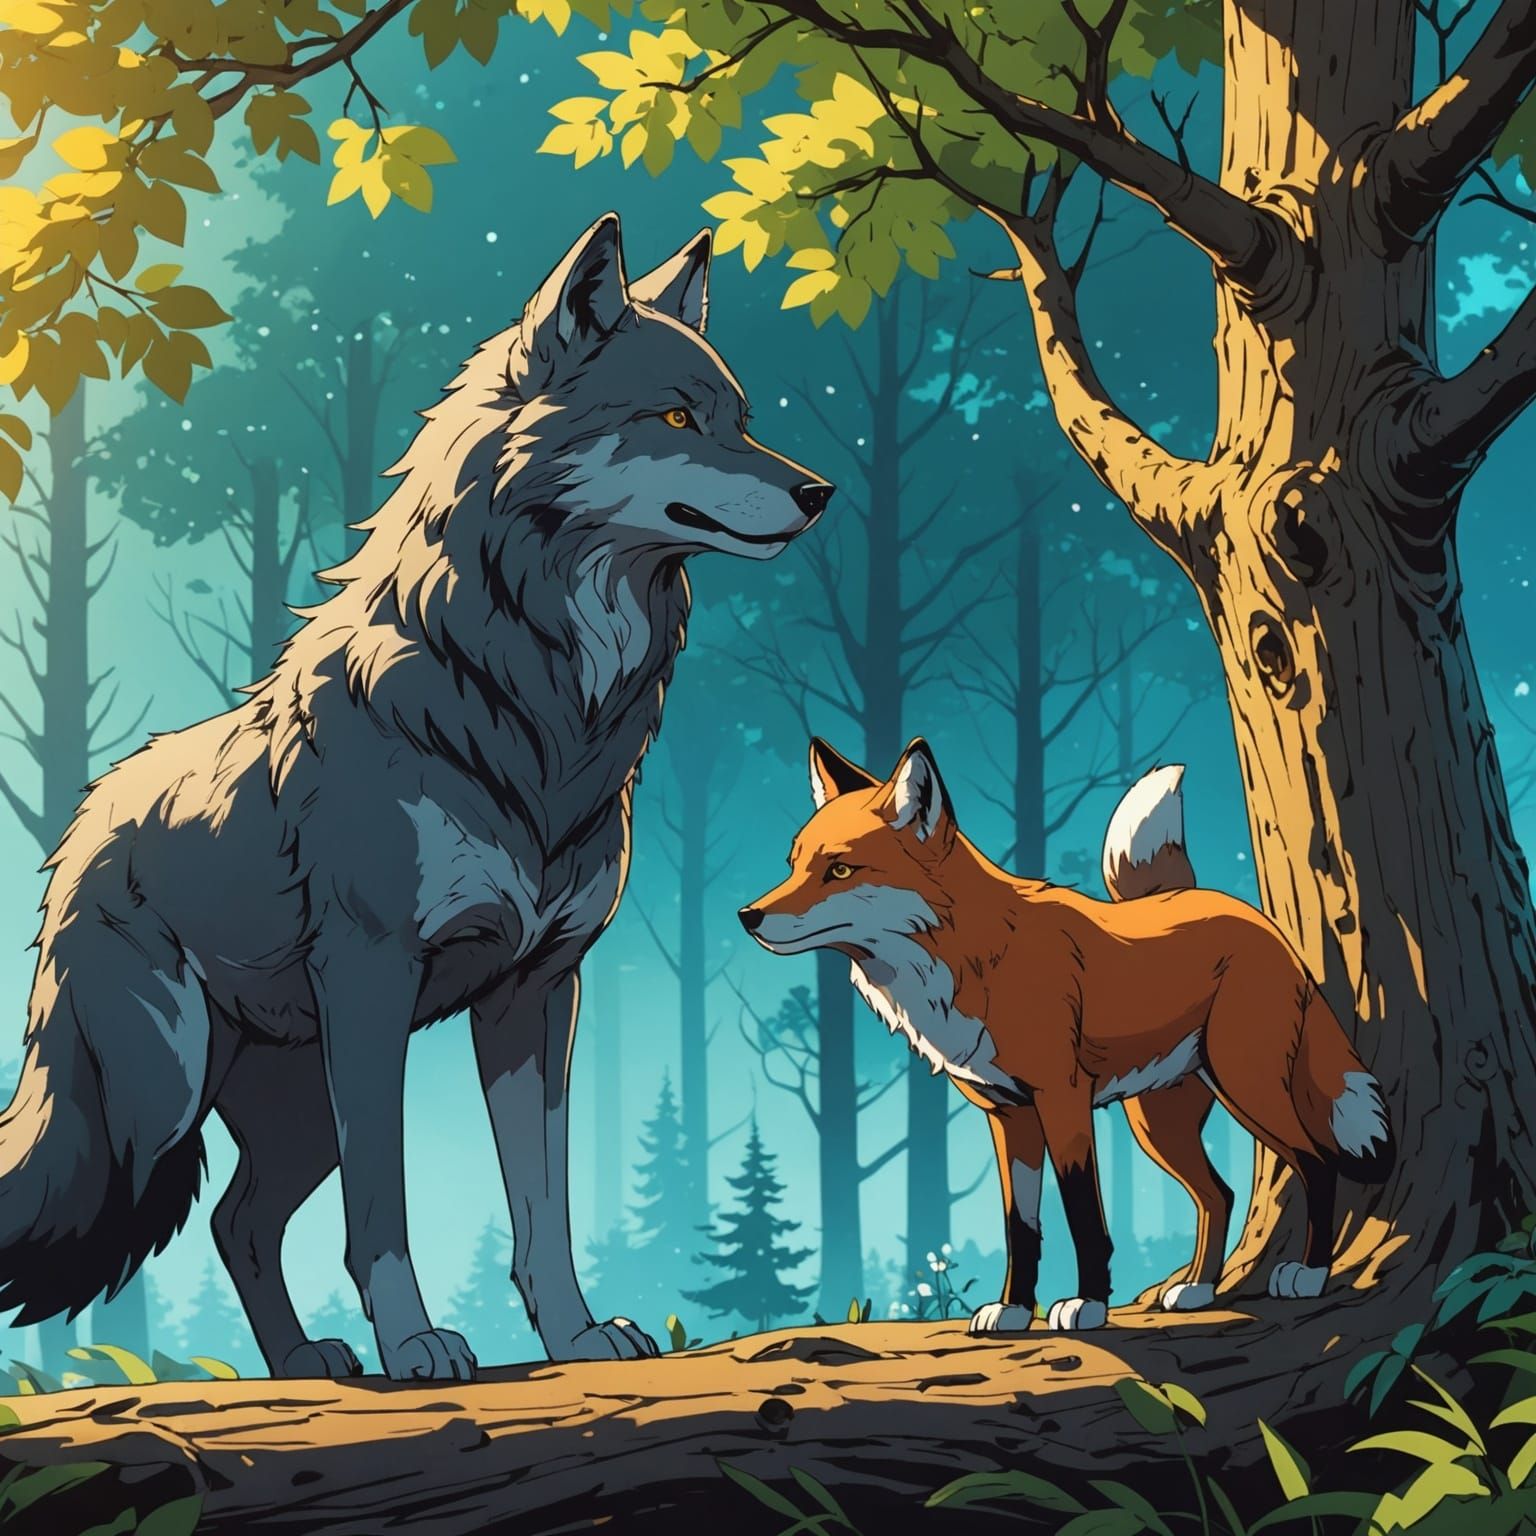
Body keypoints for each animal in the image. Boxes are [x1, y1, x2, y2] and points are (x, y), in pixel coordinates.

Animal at [0, 213, 832, 1381]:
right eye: (677, 418)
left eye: (743, 423)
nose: (819, 494)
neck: (531, 709)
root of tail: (83, 823)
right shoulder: (372, 980)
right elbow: (383, 1206)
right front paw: (417, 1344)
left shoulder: (540, 991)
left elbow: (542, 1203)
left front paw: (575, 1335)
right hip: (158, 1097)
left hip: (286, 1108)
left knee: (238, 1222)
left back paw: (303, 1362)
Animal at [741, 739, 1395, 1333]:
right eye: (793, 864)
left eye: (839, 870)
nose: (749, 917)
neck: (976, 961)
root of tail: (1255, 918)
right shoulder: (1009, 1117)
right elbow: (1021, 1228)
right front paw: (1012, 1310)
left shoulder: (1063, 1100)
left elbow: (1084, 1216)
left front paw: (1089, 1306)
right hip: (1157, 1121)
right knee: (1220, 1194)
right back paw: (1198, 1289)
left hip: (1246, 1085)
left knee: (1315, 1163)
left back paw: (1308, 1275)